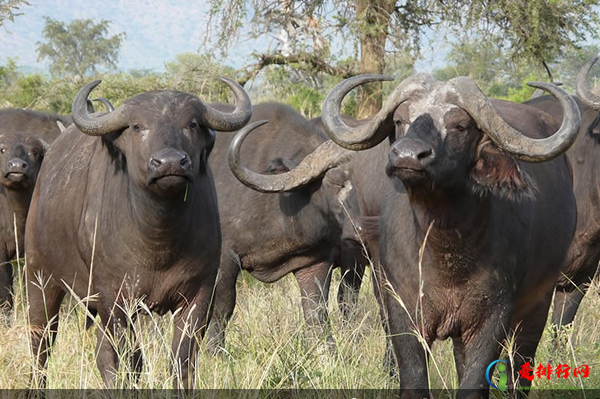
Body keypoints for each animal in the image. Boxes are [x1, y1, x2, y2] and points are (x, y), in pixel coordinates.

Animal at [205, 103, 366, 354]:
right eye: (336, 180)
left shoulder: (316, 261)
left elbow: (317, 311)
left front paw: (328, 353)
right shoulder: (224, 259)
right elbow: (222, 308)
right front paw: (215, 353)